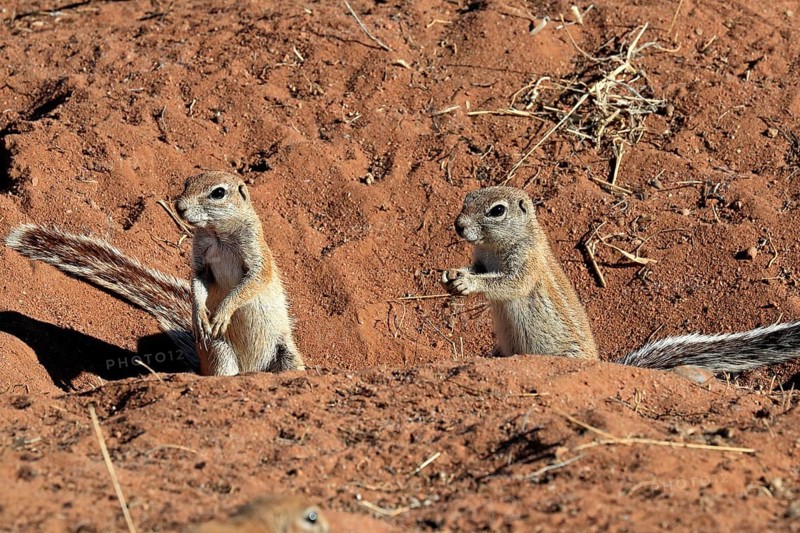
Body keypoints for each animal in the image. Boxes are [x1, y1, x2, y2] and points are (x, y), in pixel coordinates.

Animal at [5, 171, 304, 376]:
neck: (219, 234)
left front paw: (222, 312)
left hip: (286, 355)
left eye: (218, 193)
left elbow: (253, 281)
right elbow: (197, 281)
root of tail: (252, 369)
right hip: (219, 351)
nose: (179, 206)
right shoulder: (200, 258)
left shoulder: (257, 255)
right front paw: (199, 314)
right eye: (187, 182)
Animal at [441, 185, 800, 373]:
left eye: (497, 210)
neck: (495, 248)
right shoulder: (481, 260)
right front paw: (452, 276)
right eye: (467, 199)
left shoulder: (526, 266)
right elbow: (476, 271)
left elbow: (507, 284)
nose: (458, 225)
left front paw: (469, 284)